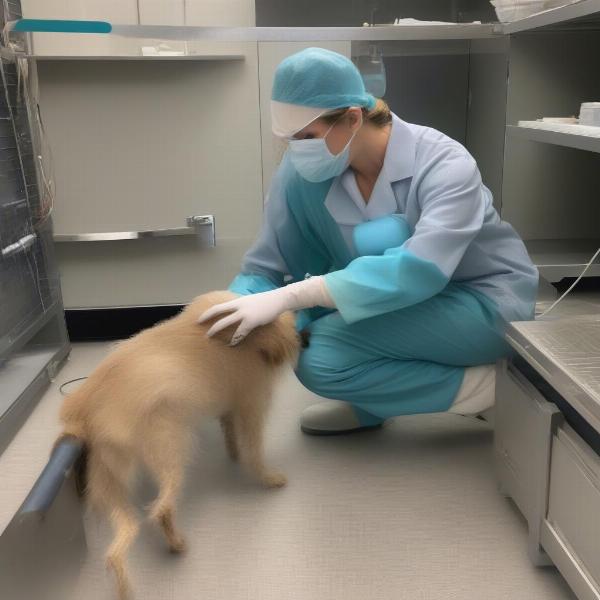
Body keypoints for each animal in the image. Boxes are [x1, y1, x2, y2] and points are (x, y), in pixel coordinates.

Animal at [55, 292, 300, 600]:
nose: (304, 338)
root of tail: (86, 408)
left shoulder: (232, 407)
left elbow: (230, 432)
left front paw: (232, 453)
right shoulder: (252, 406)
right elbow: (254, 453)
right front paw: (268, 478)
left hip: (106, 474)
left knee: (118, 545)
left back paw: (124, 585)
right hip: (169, 449)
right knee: (161, 510)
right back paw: (176, 544)